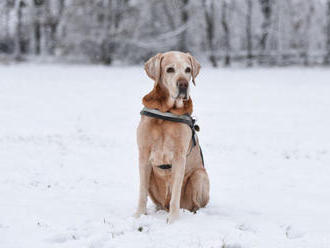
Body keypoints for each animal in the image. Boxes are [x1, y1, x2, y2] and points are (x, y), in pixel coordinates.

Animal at [134, 51, 209, 224]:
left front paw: (173, 219)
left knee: (193, 204)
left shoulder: (179, 157)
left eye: (188, 70)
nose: (183, 84)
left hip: (199, 175)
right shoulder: (143, 155)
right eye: (170, 69)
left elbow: (175, 192)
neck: (166, 112)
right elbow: (141, 192)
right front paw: (139, 215)